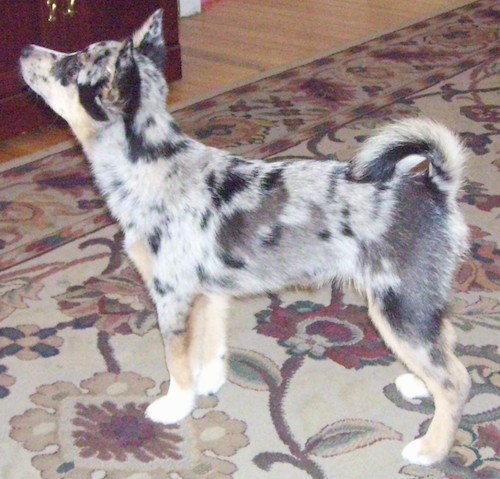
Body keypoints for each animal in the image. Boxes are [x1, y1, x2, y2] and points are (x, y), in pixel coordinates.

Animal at [20, 10, 472, 464]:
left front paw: (175, 404)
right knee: (447, 345)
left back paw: (431, 447)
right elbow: (208, 347)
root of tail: (434, 186)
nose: (24, 49)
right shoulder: (207, 295)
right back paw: (418, 384)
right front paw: (207, 382)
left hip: (397, 306)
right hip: (418, 302)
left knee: (455, 381)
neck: (154, 168)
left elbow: (176, 360)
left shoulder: (171, 296)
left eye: (72, 65)